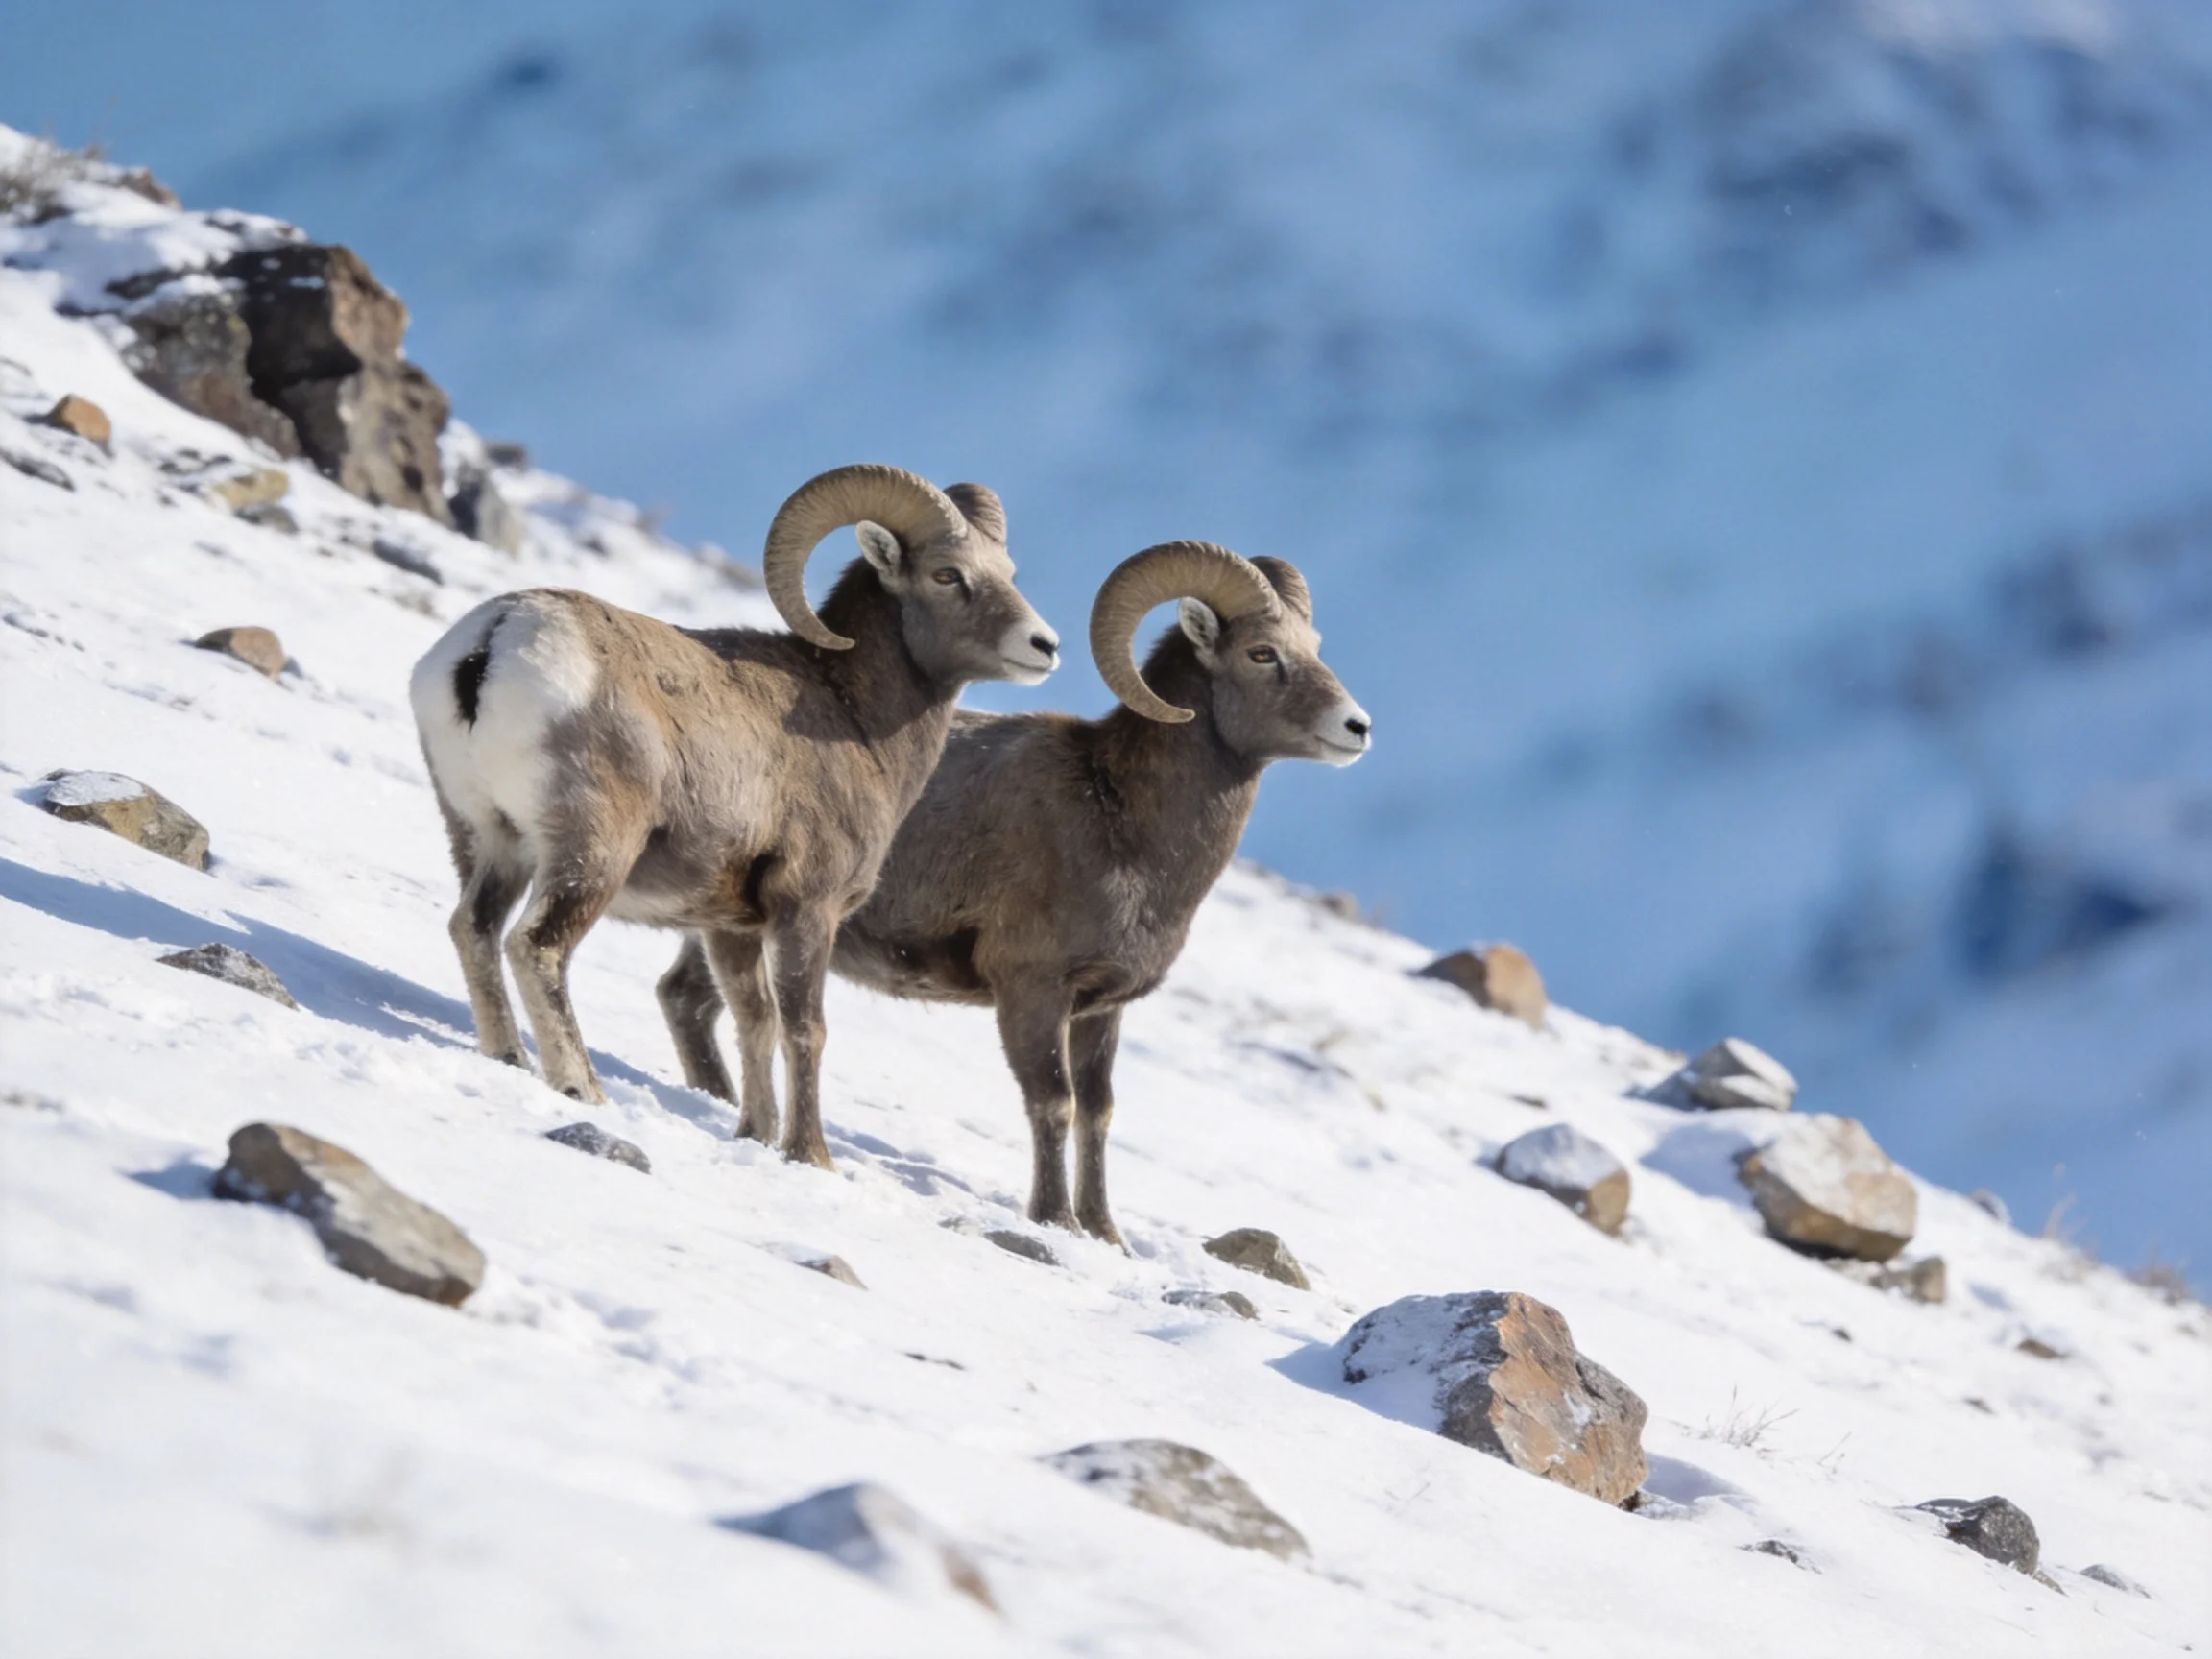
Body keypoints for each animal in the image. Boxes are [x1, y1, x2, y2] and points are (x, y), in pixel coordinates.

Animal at [409, 463, 1060, 1169]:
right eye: (947, 575)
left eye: (1006, 570)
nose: (1044, 645)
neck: (853, 717)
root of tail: (495, 640)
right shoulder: (807, 909)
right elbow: (804, 1028)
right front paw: (810, 1155)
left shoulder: (730, 926)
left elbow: (755, 1021)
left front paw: (756, 1134)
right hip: (591, 854)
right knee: (537, 946)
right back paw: (582, 1088)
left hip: (487, 839)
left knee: (473, 928)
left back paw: (508, 1058)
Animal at [656, 541, 1368, 1240]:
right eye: (1261, 653)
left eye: (1313, 645)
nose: (1356, 727)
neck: (1121, 824)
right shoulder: (1032, 990)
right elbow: (1054, 1101)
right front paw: (1054, 1222)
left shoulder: (1101, 1009)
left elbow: (1098, 1112)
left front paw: (1105, 1235)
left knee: (691, 999)